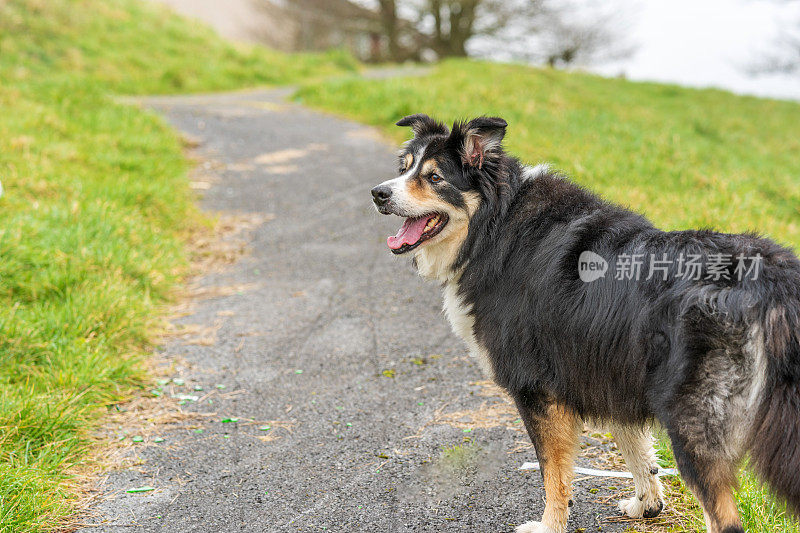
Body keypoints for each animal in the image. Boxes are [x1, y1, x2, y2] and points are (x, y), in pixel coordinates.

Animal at [372, 115, 800, 532]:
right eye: (404, 169)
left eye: (434, 177)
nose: (378, 193)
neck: (494, 223)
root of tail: (772, 279)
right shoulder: (609, 369)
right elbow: (635, 449)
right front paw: (647, 504)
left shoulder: (538, 388)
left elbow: (554, 474)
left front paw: (549, 525)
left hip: (692, 422)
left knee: (724, 519)